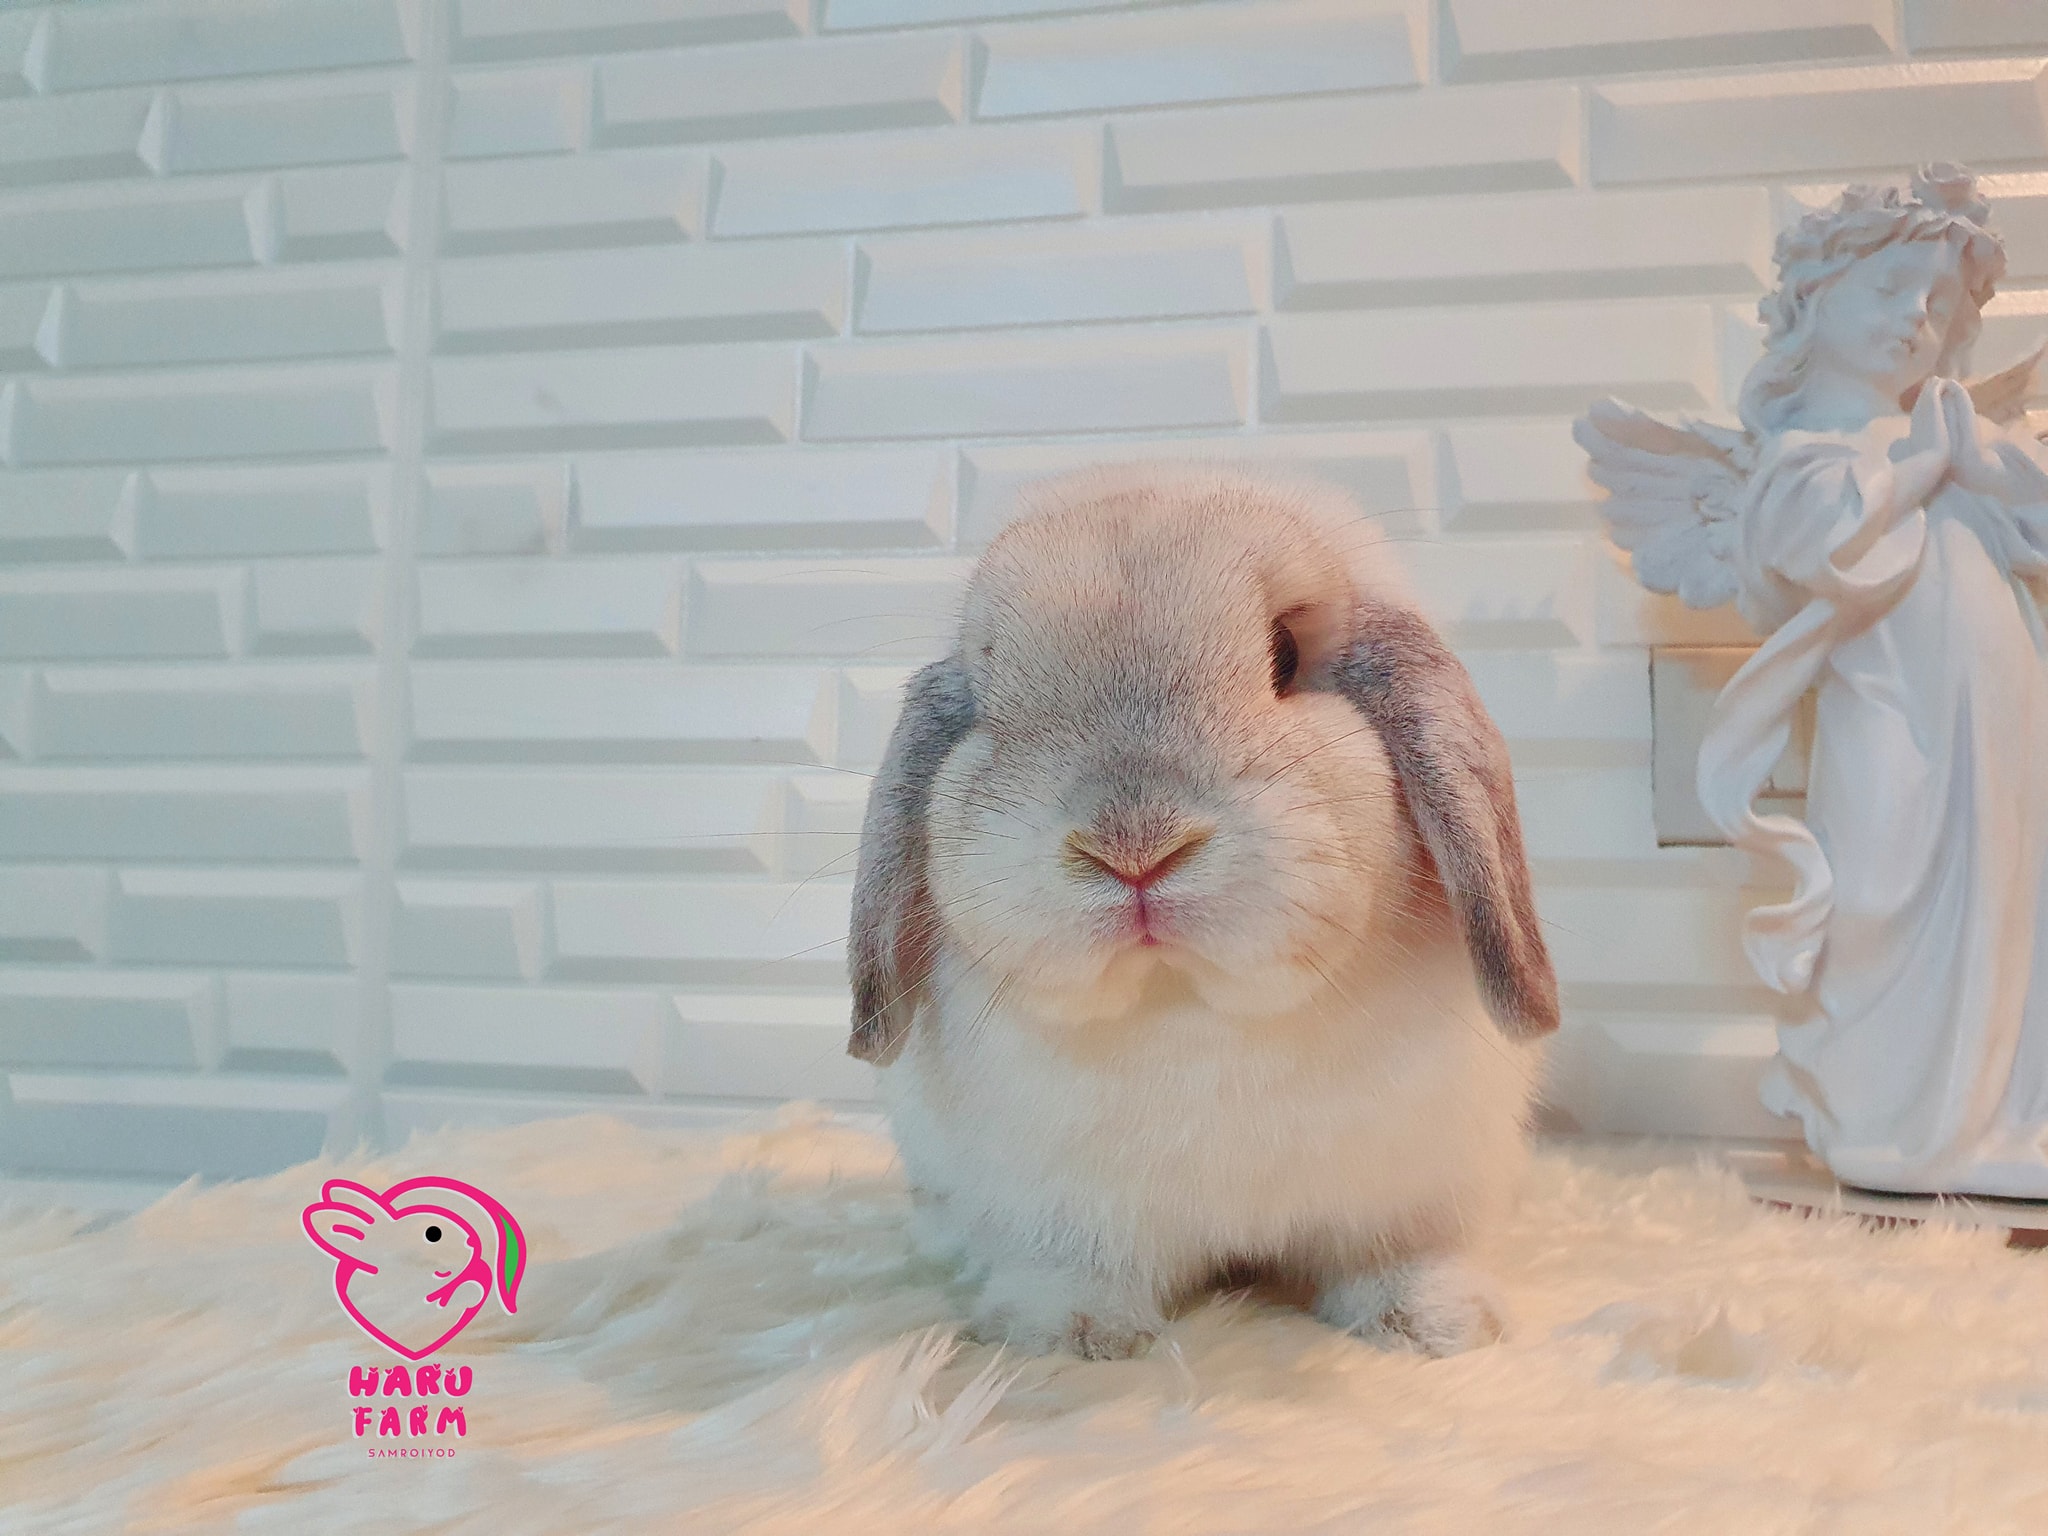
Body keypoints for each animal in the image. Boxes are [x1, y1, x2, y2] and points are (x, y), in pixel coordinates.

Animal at [846, 463, 1557, 1361]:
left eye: (1286, 656)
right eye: (990, 695)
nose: (1132, 847)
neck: (1192, 1010)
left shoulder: (1418, 1190)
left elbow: (1403, 1255)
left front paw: (1434, 1325)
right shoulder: (1056, 1213)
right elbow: (1072, 1266)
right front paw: (1071, 1335)